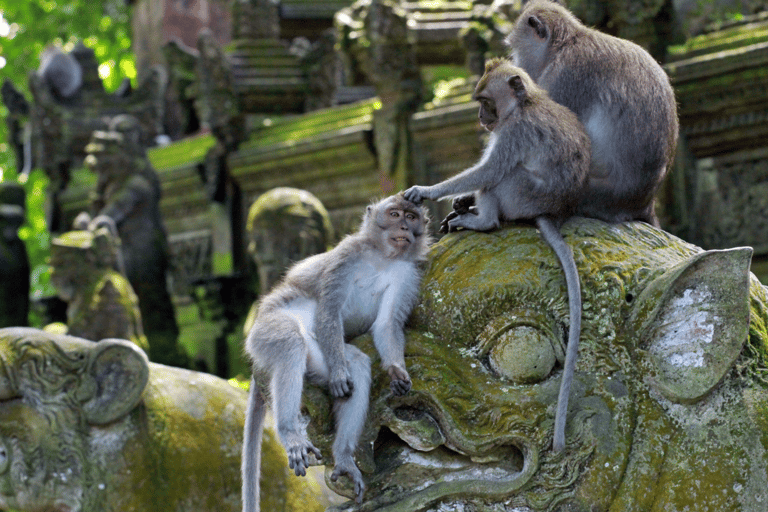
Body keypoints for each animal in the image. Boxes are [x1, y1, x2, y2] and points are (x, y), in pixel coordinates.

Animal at [241, 194, 431, 512]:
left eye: (412, 216)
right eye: (394, 214)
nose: (405, 226)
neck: (382, 257)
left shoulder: (407, 273)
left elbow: (387, 324)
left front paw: (397, 371)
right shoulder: (346, 256)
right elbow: (329, 310)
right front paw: (343, 375)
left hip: (320, 354)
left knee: (357, 363)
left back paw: (343, 457)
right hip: (266, 331)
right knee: (291, 343)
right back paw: (290, 433)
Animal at [403, 59, 590, 452]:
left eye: (486, 100)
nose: (480, 116)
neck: (524, 105)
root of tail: (552, 212)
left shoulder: (514, 133)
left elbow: (489, 170)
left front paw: (427, 191)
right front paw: (459, 200)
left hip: (521, 195)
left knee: (501, 176)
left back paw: (483, 220)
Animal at [506, 0, 678, 227]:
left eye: (515, 49)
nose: (517, 65)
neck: (565, 44)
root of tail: (644, 203)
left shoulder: (565, 75)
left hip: (592, 194)